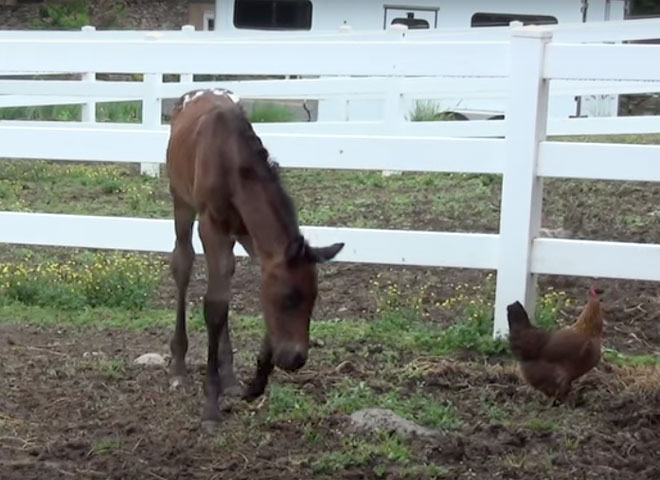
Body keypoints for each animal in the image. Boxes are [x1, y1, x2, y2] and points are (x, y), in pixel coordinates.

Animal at [164, 88, 346, 430]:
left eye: (313, 300)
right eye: (288, 299)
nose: (295, 359)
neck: (232, 161)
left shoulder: (249, 232)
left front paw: (255, 383)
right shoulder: (212, 226)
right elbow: (215, 306)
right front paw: (211, 407)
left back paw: (231, 378)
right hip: (181, 200)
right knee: (183, 264)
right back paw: (179, 368)